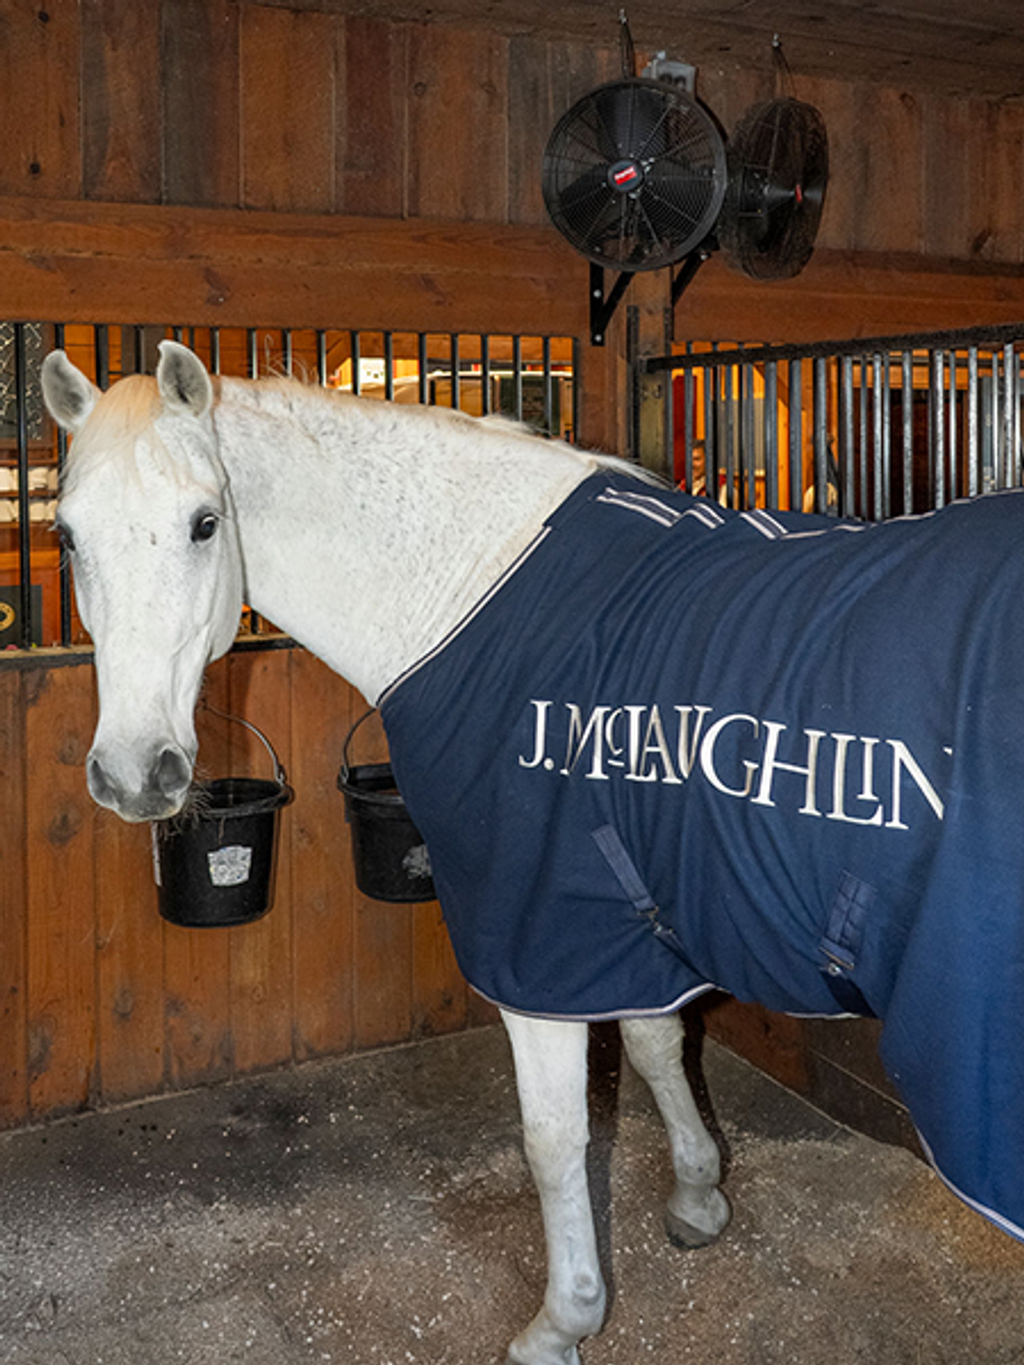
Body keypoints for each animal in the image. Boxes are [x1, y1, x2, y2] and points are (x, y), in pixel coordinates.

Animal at [42, 342, 1024, 1363]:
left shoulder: (535, 932)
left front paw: (564, 1319)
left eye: (204, 523)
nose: (133, 772)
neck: (471, 584)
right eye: (68, 536)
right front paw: (697, 1190)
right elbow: (657, 1043)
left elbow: (555, 1136)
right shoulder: (615, 913)